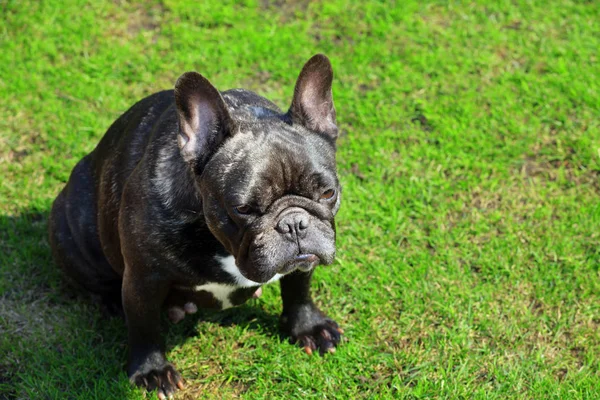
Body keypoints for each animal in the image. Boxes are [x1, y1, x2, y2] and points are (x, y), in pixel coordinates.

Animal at [48, 54, 342, 398]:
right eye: (243, 208)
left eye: (328, 193)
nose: (295, 223)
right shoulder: (142, 279)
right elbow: (144, 326)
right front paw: (151, 370)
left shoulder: (303, 262)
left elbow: (298, 288)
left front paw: (308, 327)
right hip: (70, 228)